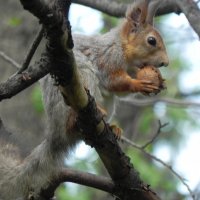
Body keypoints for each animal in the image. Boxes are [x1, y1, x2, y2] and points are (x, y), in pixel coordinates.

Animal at [0, 0, 169, 199]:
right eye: (151, 41)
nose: (166, 63)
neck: (124, 51)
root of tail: (56, 133)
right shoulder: (108, 57)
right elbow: (114, 81)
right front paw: (140, 84)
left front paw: (158, 82)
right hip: (81, 80)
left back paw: (113, 128)